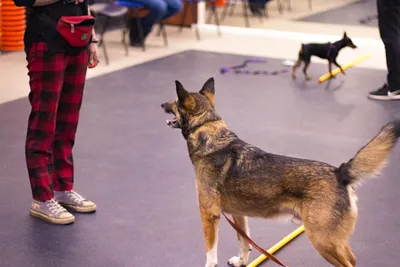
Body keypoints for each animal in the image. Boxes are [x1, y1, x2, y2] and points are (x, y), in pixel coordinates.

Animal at [161, 77, 398, 267]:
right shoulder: (238, 215)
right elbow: (244, 242)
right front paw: (241, 262)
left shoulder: (209, 215)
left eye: (175, 102)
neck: (209, 132)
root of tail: (340, 172)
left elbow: (210, 255)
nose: (162, 104)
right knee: (353, 259)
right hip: (333, 240)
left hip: (322, 240)